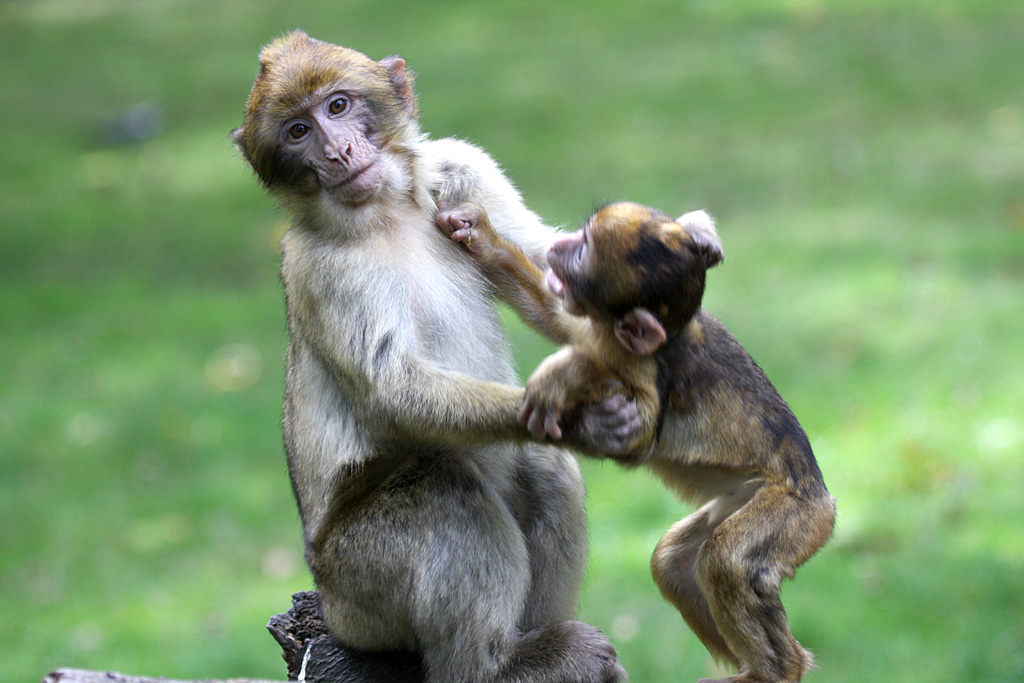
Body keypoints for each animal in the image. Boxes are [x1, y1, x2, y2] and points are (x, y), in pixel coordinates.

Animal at [231, 31, 636, 683]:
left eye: (338, 107)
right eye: (297, 131)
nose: (338, 152)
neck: (387, 210)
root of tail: (328, 606)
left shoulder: (465, 167)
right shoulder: (315, 265)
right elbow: (391, 389)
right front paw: (585, 418)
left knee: (543, 467)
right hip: (361, 590)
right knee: (444, 489)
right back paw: (496, 666)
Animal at [437, 201, 837, 683]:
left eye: (584, 251)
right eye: (582, 235)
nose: (561, 245)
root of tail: (820, 494)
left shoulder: (643, 362)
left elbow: (638, 436)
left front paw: (565, 375)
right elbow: (555, 316)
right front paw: (479, 236)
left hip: (796, 513)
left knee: (726, 560)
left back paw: (776, 671)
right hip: (740, 500)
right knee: (673, 562)